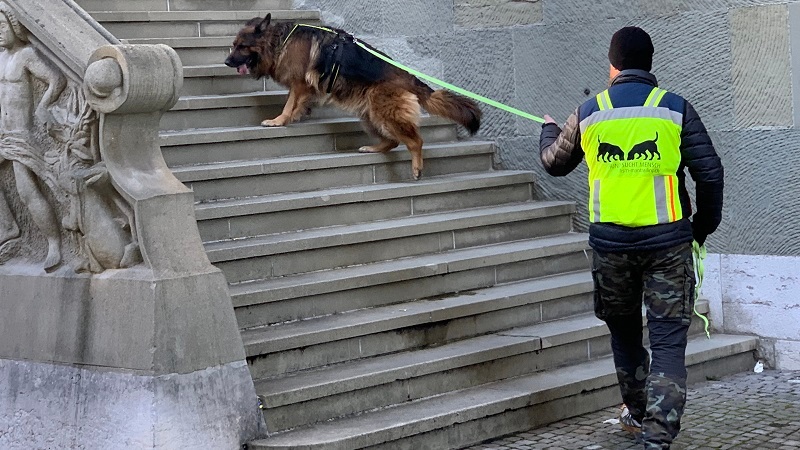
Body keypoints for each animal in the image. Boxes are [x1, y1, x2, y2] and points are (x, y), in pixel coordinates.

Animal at [223, 14, 482, 179]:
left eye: (241, 46)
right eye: (232, 45)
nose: (225, 62)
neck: (279, 40)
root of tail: (409, 77)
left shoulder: (299, 83)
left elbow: (288, 103)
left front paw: (279, 120)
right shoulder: (304, 87)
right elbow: (296, 103)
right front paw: (297, 115)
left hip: (384, 113)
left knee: (415, 141)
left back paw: (417, 167)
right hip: (370, 115)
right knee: (393, 141)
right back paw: (373, 148)